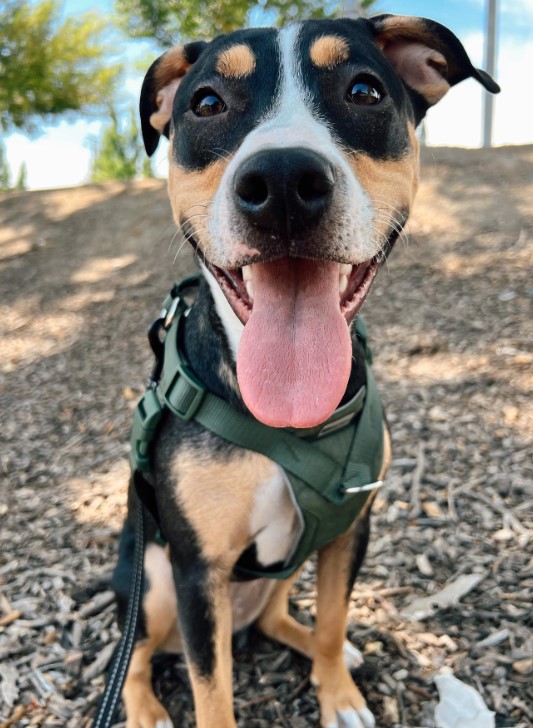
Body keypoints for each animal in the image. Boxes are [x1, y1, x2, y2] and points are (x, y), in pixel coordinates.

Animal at [112, 12, 498, 728]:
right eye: (206, 103)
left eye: (365, 90)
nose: (284, 182)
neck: (287, 424)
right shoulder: (196, 569)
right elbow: (211, 690)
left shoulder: (350, 527)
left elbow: (333, 615)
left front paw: (337, 694)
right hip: (148, 579)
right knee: (136, 656)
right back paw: (146, 709)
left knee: (274, 619)